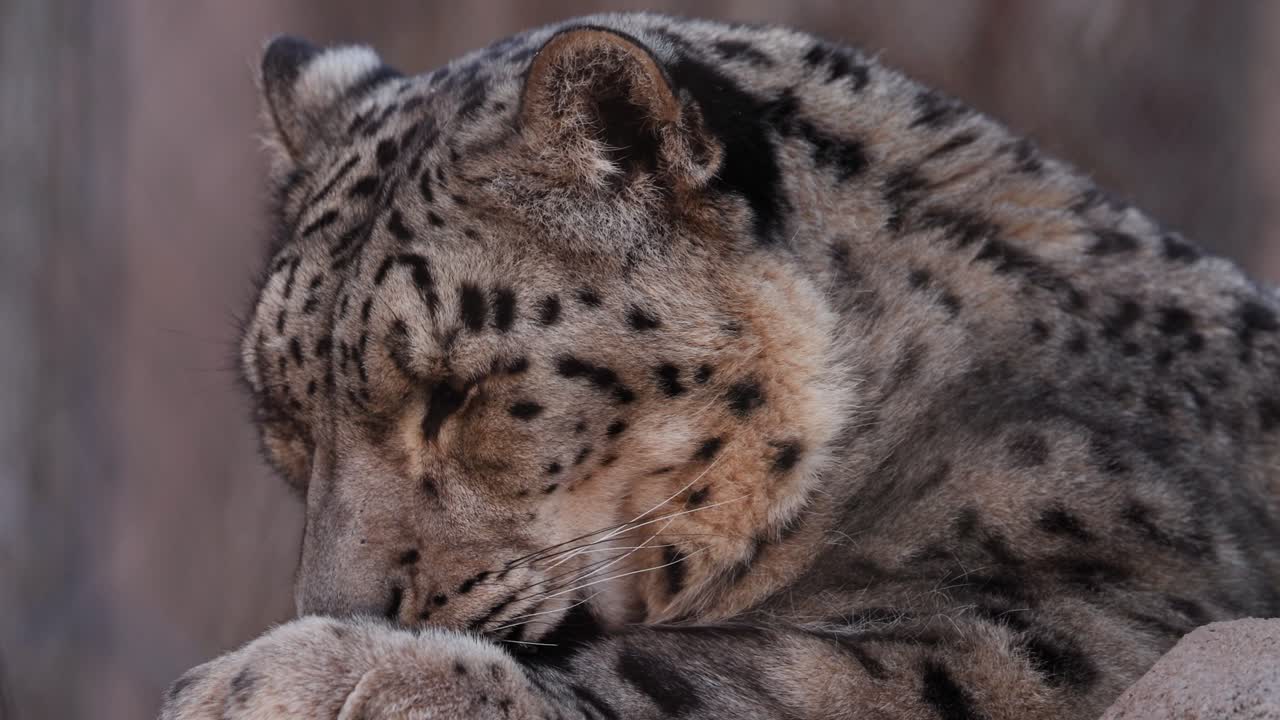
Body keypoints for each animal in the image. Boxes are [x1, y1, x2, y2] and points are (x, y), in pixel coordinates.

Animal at [161, 12, 1280, 720]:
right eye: (285, 421)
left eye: (457, 395)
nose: (330, 608)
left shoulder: (1094, 615)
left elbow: (741, 670)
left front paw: (288, 679)